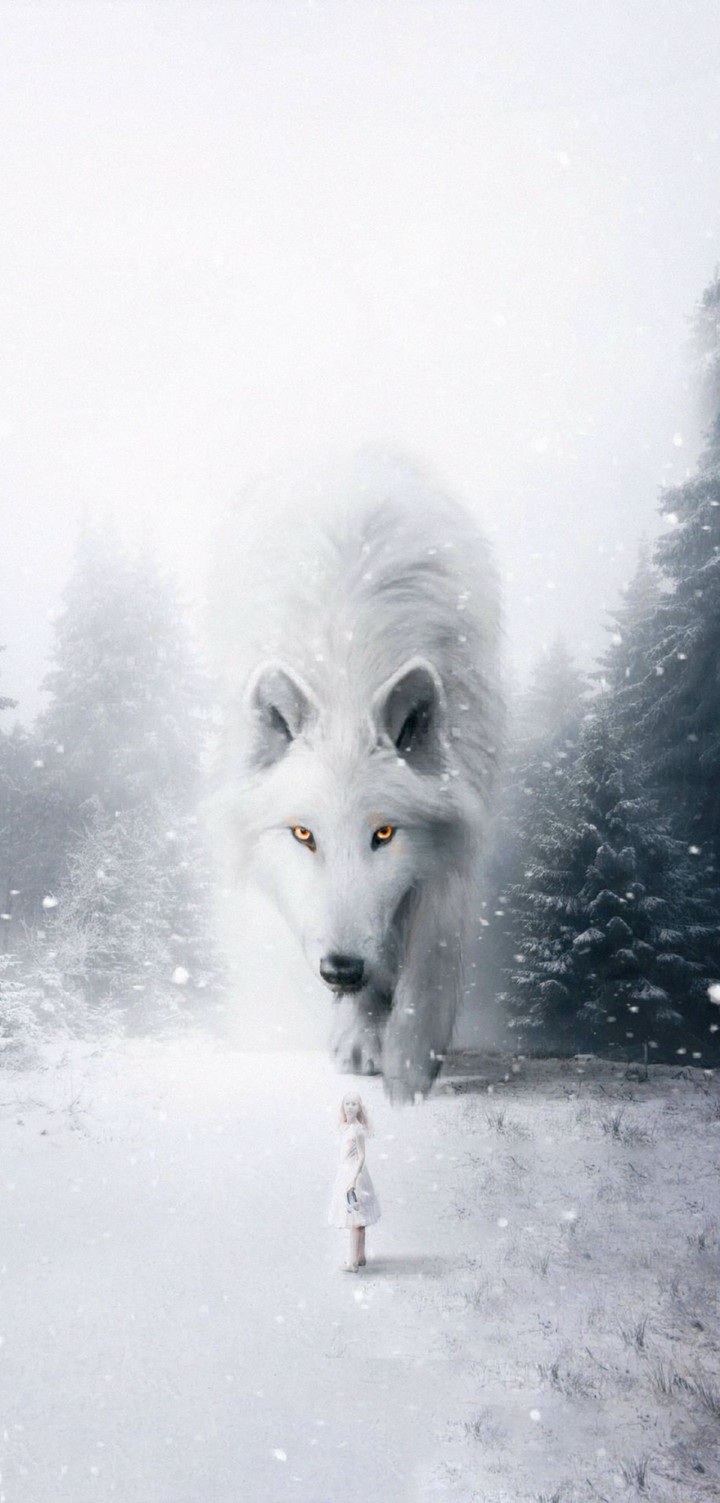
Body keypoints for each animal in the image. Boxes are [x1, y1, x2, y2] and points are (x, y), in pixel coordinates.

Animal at [208, 450, 502, 1100]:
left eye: (384, 833)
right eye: (303, 835)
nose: (340, 970)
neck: (348, 666)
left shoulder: (457, 824)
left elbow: (432, 951)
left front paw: (411, 1067)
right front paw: (364, 1036)